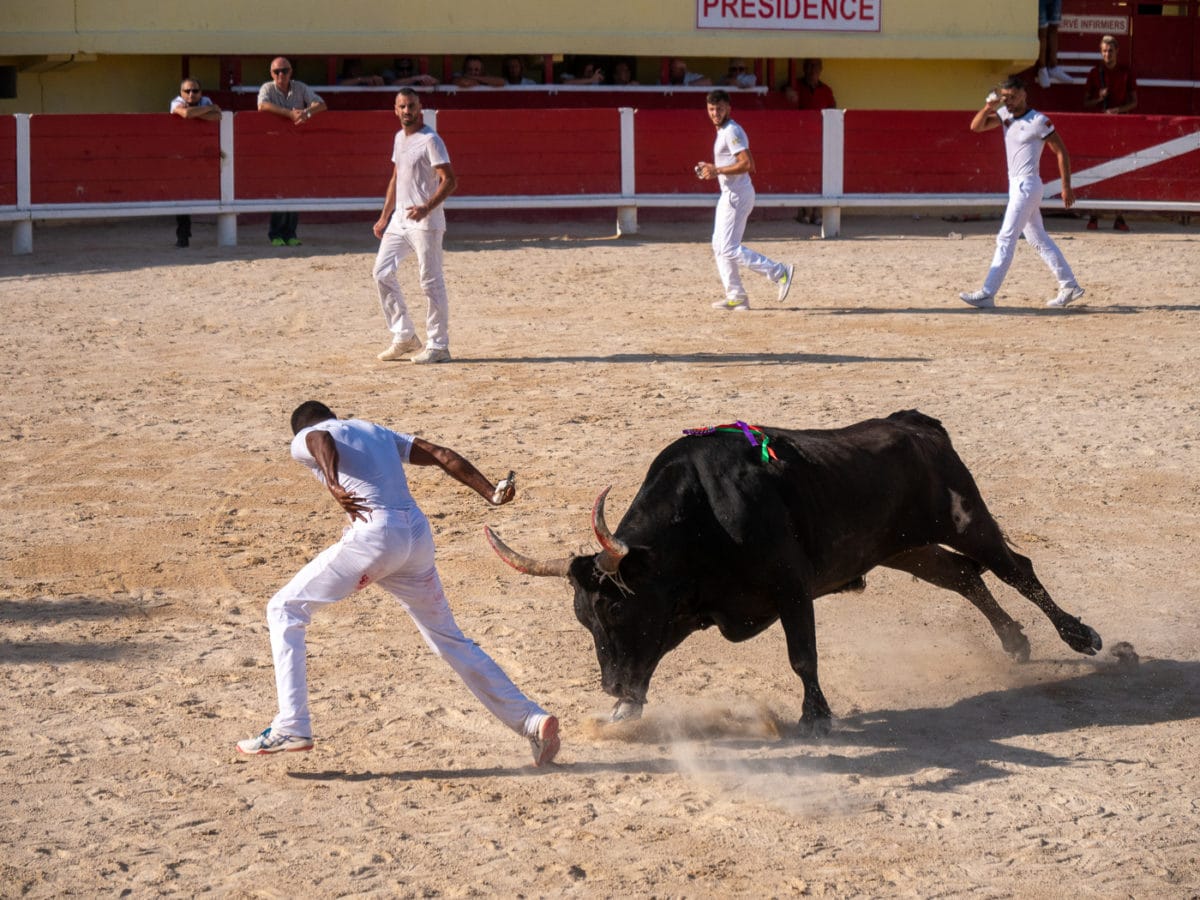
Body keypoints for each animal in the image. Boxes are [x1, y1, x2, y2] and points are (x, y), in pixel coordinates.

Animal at [482, 412, 1099, 734]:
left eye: (614, 606)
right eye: (582, 618)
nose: (608, 684)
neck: (704, 515)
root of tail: (917, 425)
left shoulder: (790, 589)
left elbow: (803, 655)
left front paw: (816, 717)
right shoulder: (685, 610)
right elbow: (650, 659)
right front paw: (624, 708)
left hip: (964, 518)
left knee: (1015, 569)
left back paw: (1081, 635)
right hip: (905, 549)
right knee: (965, 577)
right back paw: (1015, 642)